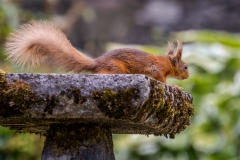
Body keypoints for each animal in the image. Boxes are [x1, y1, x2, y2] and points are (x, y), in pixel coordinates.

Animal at [4, 21, 188, 85]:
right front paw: (174, 86)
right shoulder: (157, 69)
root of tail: (96, 62)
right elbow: (162, 80)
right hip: (116, 68)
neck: (167, 62)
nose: (188, 76)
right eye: (185, 67)